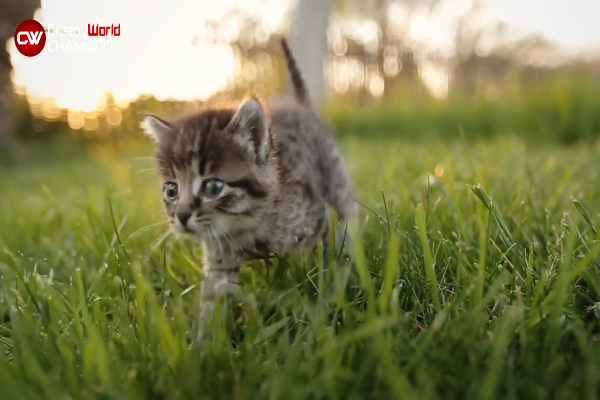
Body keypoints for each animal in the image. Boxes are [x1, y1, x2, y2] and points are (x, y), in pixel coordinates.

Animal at [141, 38, 356, 344]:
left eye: (213, 186)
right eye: (171, 190)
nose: (180, 216)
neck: (247, 225)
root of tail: (302, 108)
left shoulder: (316, 219)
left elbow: (328, 259)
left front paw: (330, 295)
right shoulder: (219, 260)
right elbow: (212, 300)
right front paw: (204, 348)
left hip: (335, 180)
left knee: (347, 215)